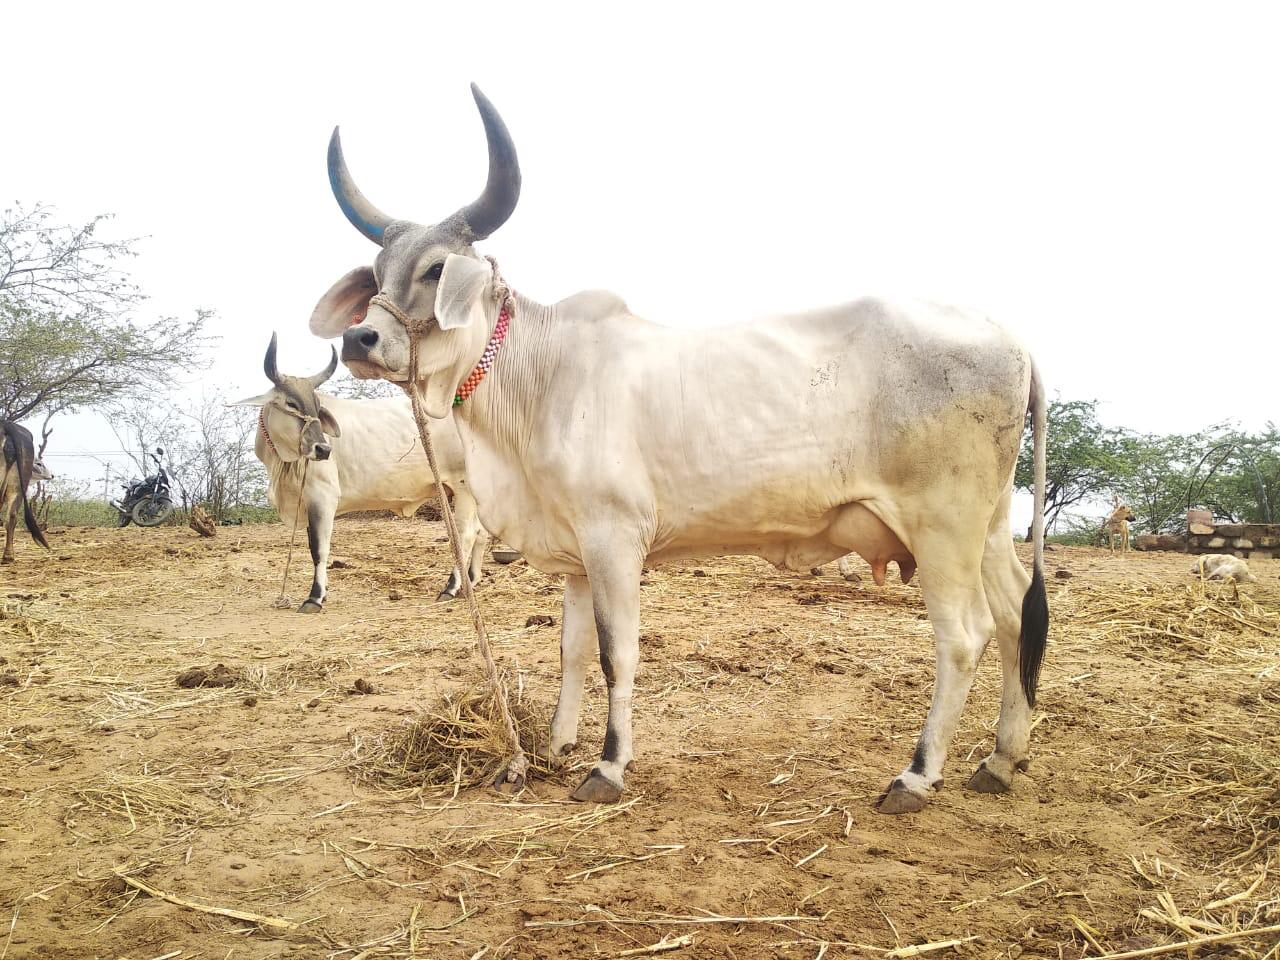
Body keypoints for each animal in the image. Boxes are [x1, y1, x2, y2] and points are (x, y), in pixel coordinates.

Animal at [232, 335, 486, 611]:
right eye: (291, 403)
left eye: (317, 406)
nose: (323, 449)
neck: (283, 462)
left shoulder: (322, 498)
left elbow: (319, 549)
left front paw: (315, 597)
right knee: (481, 533)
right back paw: (471, 581)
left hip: (463, 487)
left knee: (466, 536)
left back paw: (451, 587)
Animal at [309, 86, 1049, 814]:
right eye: (378, 271)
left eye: (437, 270)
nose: (360, 340)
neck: (540, 377)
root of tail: (1012, 339)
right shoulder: (575, 554)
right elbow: (572, 649)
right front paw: (554, 743)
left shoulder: (614, 540)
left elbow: (617, 654)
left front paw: (608, 765)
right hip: (985, 530)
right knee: (1016, 616)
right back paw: (1001, 760)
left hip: (942, 528)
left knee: (965, 637)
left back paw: (917, 775)